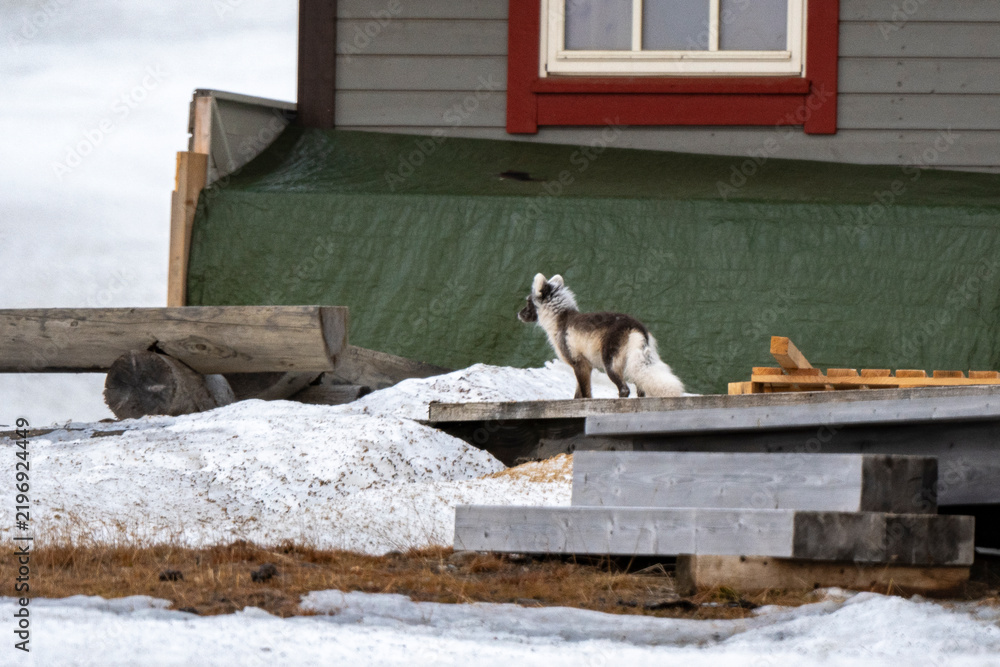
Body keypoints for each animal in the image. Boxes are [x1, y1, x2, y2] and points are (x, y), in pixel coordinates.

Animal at [518, 273, 685, 399]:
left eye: (528, 302)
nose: (518, 314)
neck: (559, 318)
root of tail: (636, 326)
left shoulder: (579, 363)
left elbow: (585, 395)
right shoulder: (585, 365)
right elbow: (579, 394)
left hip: (610, 364)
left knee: (625, 389)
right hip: (636, 363)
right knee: (640, 390)